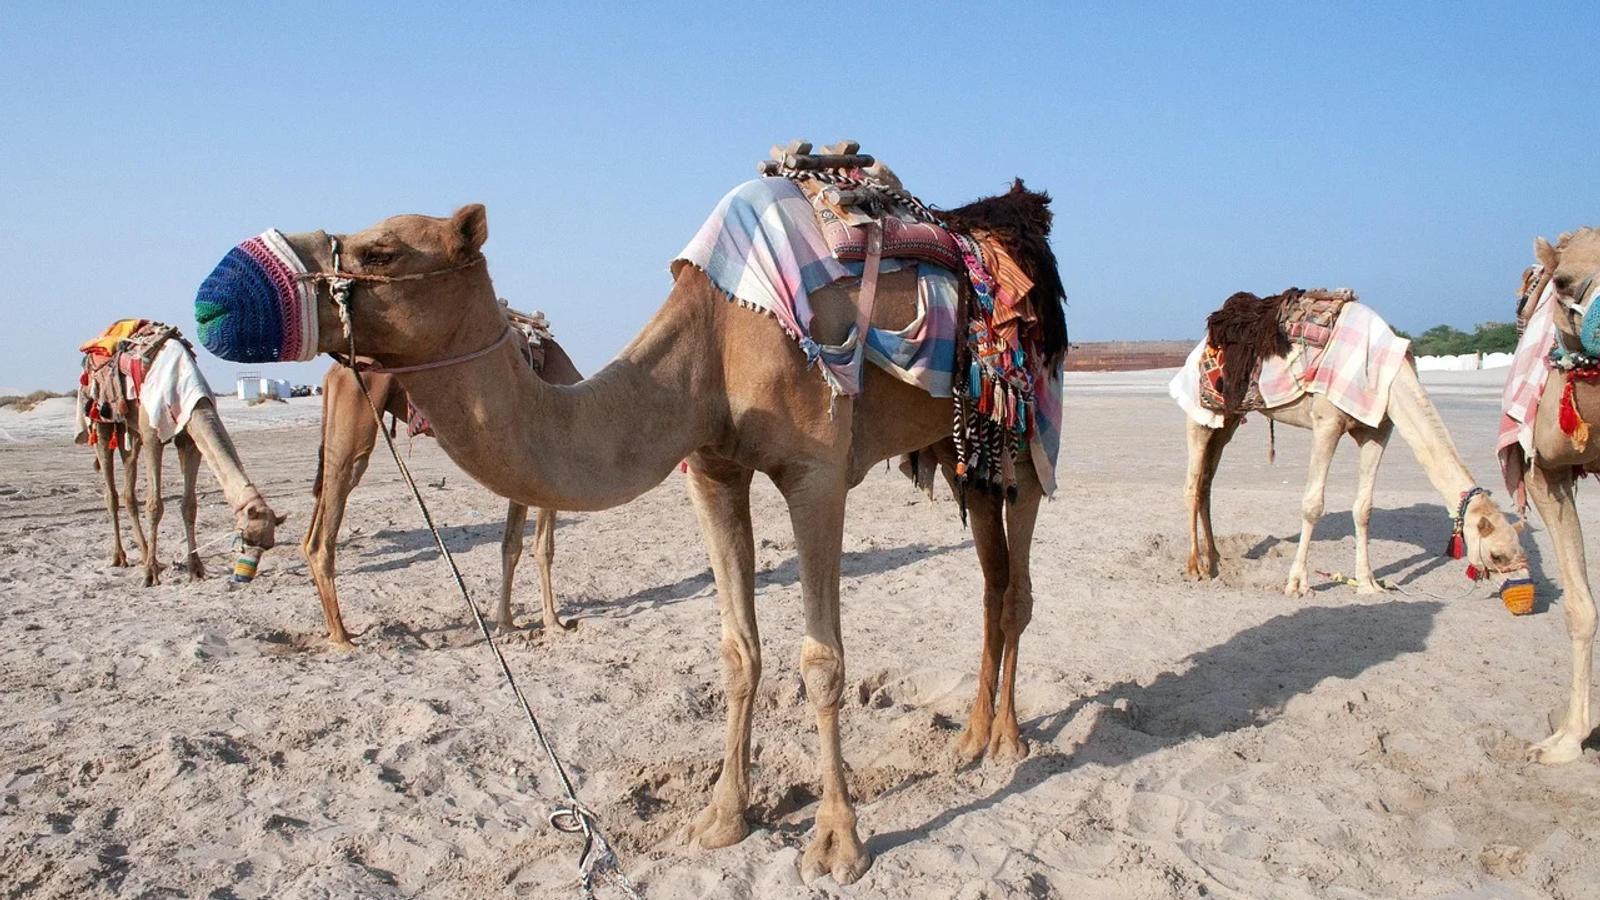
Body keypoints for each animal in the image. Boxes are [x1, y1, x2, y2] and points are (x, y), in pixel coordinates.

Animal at [90, 395, 284, 587]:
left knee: (128, 488)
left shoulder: (189, 440)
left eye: (269, 545)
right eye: (247, 538)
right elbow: (154, 506)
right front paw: (150, 575)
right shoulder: (152, 435)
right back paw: (121, 557)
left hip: (130, 432)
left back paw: (146, 556)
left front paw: (196, 570)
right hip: (104, 424)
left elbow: (189, 506)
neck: (196, 406)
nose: (245, 577)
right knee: (111, 493)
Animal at [304, 339, 582, 648]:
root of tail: (333, 372)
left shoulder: (523, 477)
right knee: (330, 517)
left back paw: (335, 629)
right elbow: (543, 548)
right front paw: (553, 622)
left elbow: (511, 545)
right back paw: (341, 636)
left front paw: (506, 623)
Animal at [1180, 297, 1526, 596]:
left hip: (1227, 421)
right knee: (1193, 484)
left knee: (1207, 483)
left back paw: (1216, 559)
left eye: (1519, 550)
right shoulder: (1327, 422)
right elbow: (1312, 504)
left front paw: (1367, 583)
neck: (1390, 375)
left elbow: (1364, 508)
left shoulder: (1377, 430)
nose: (1519, 586)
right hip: (1201, 414)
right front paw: (1297, 583)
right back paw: (1196, 567)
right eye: (1497, 555)